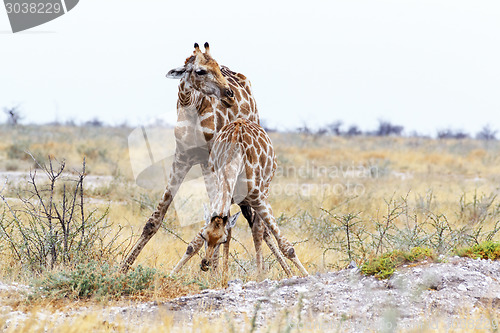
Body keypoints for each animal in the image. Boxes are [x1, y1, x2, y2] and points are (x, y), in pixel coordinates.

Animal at [120, 42, 292, 274]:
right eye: (200, 71)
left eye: (217, 68)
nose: (229, 95)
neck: (192, 108)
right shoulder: (182, 157)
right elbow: (155, 219)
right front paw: (123, 268)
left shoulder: (211, 159)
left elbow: (220, 218)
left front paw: (214, 270)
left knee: (256, 223)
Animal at [174, 118, 310, 276]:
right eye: (203, 235)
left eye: (221, 240)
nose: (205, 264)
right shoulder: (220, 195)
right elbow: (196, 244)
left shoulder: (258, 199)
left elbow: (287, 247)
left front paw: (306, 276)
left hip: (265, 189)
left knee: (258, 228)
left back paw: (263, 273)